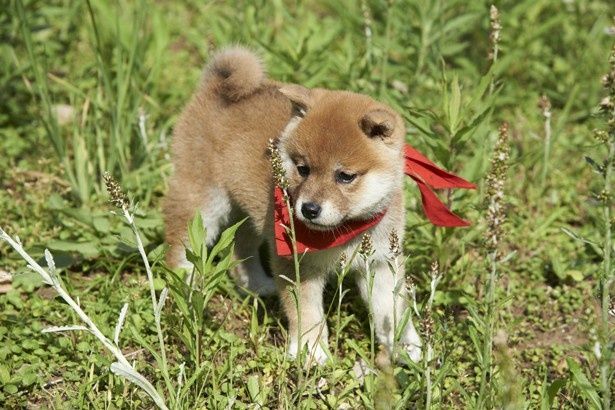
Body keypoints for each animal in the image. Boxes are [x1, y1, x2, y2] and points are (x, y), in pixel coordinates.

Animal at [164, 46, 424, 364]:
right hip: (205, 200)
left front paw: (405, 345)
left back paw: (256, 284)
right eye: (303, 169)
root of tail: (215, 88)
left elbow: (392, 309)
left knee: (242, 246)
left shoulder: (381, 262)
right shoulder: (299, 264)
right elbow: (307, 313)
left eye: (345, 176)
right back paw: (184, 285)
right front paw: (310, 351)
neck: (344, 231)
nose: (308, 209)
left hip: (249, 213)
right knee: (180, 243)